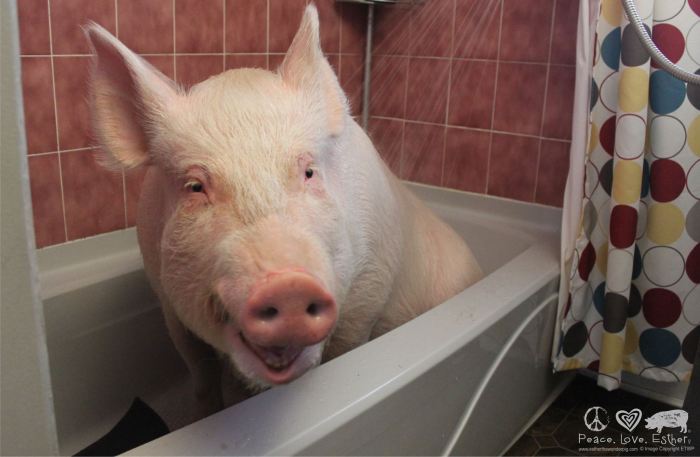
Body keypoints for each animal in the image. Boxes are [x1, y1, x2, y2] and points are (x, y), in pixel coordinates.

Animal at [85, 4, 482, 418]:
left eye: (308, 172)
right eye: (195, 186)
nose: (287, 285)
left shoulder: (370, 290)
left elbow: (347, 347)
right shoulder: (166, 300)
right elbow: (200, 373)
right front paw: (206, 415)